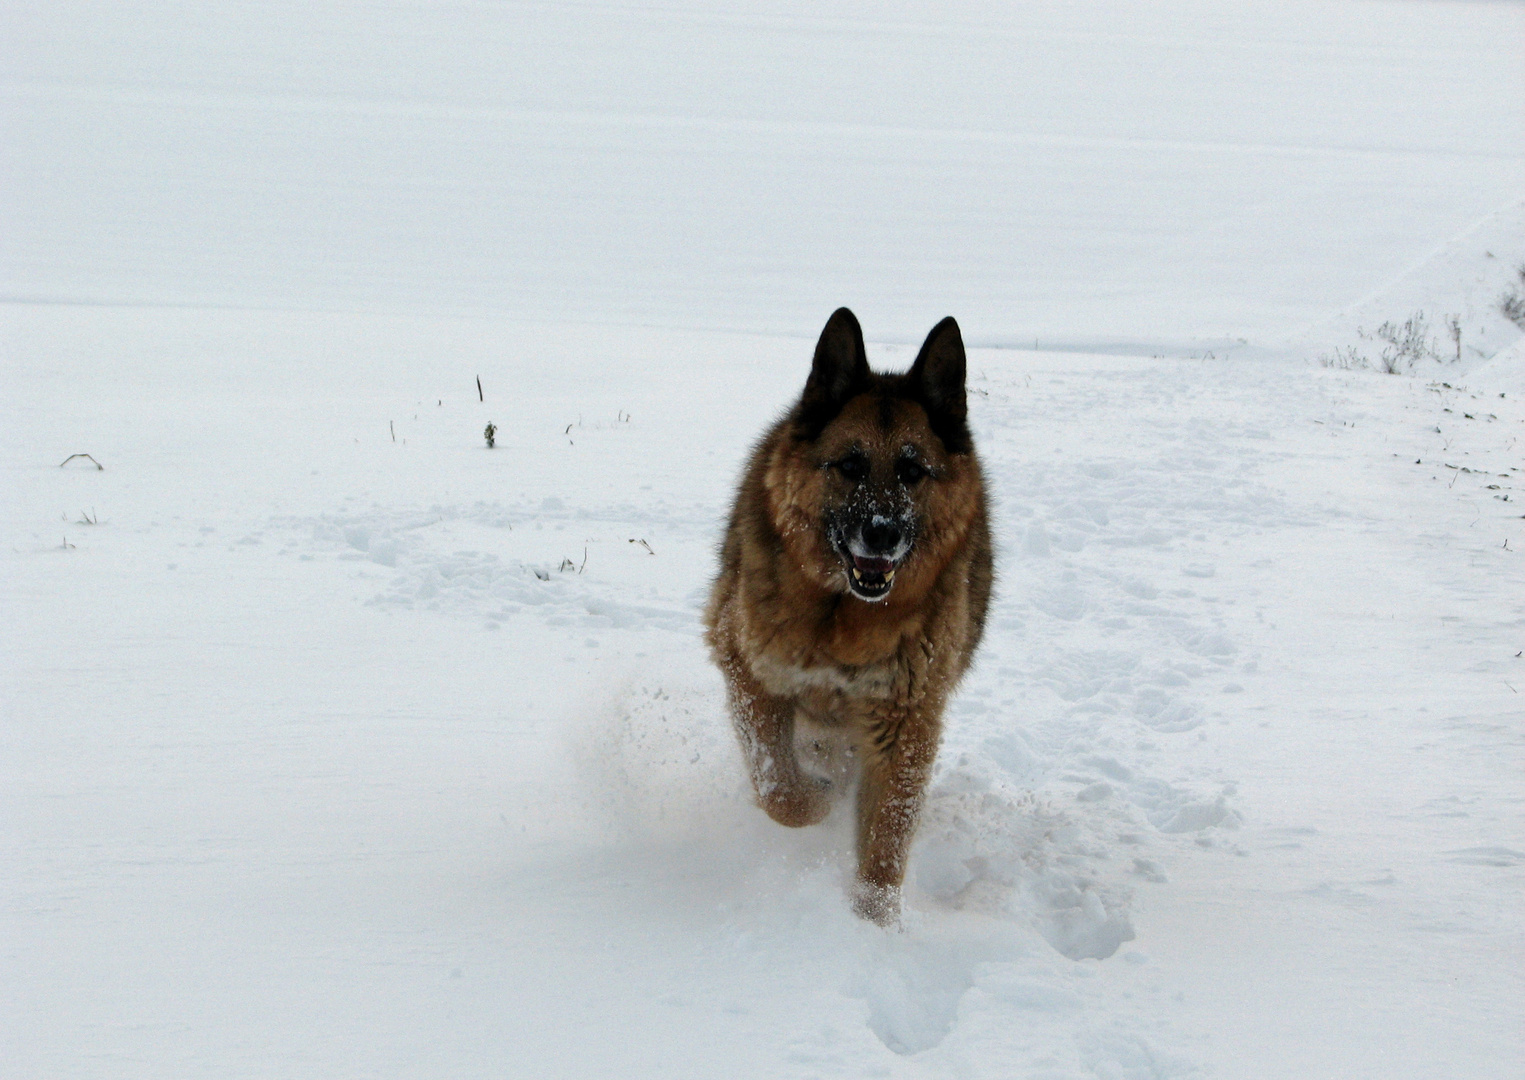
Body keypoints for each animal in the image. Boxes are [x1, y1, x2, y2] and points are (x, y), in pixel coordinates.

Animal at [704, 308, 994, 921]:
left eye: (913, 472)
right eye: (851, 465)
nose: (881, 534)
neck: (840, 618)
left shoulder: (906, 722)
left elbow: (885, 841)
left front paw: (872, 924)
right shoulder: (748, 667)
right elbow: (780, 790)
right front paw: (815, 802)